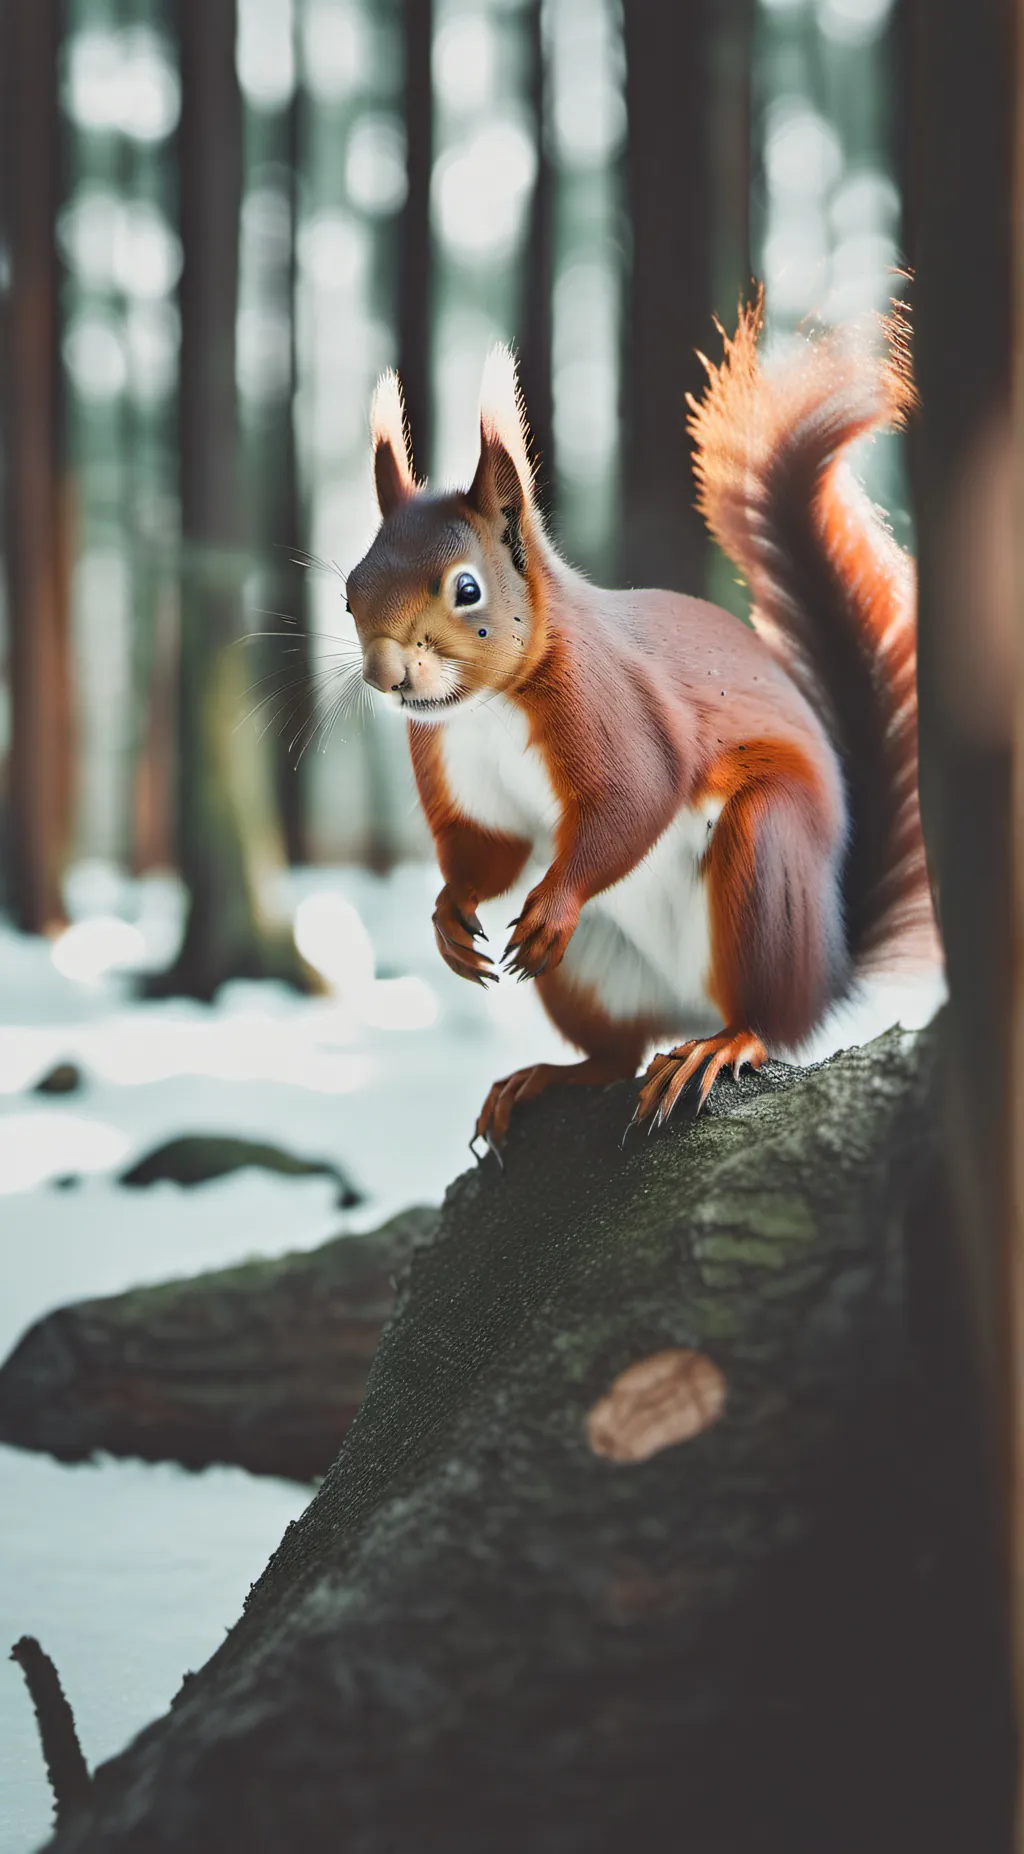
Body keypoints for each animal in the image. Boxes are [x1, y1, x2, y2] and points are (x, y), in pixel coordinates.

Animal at [346, 295, 940, 1148]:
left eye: (466, 589)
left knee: (768, 1021)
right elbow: (489, 847)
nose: (385, 676)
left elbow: (635, 799)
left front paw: (551, 904)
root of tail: (825, 966)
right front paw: (448, 916)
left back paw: (721, 1046)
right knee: (617, 1056)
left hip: (766, 864)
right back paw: (547, 1077)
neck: (487, 709)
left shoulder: (612, 703)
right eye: (350, 590)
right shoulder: (451, 760)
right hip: (596, 972)